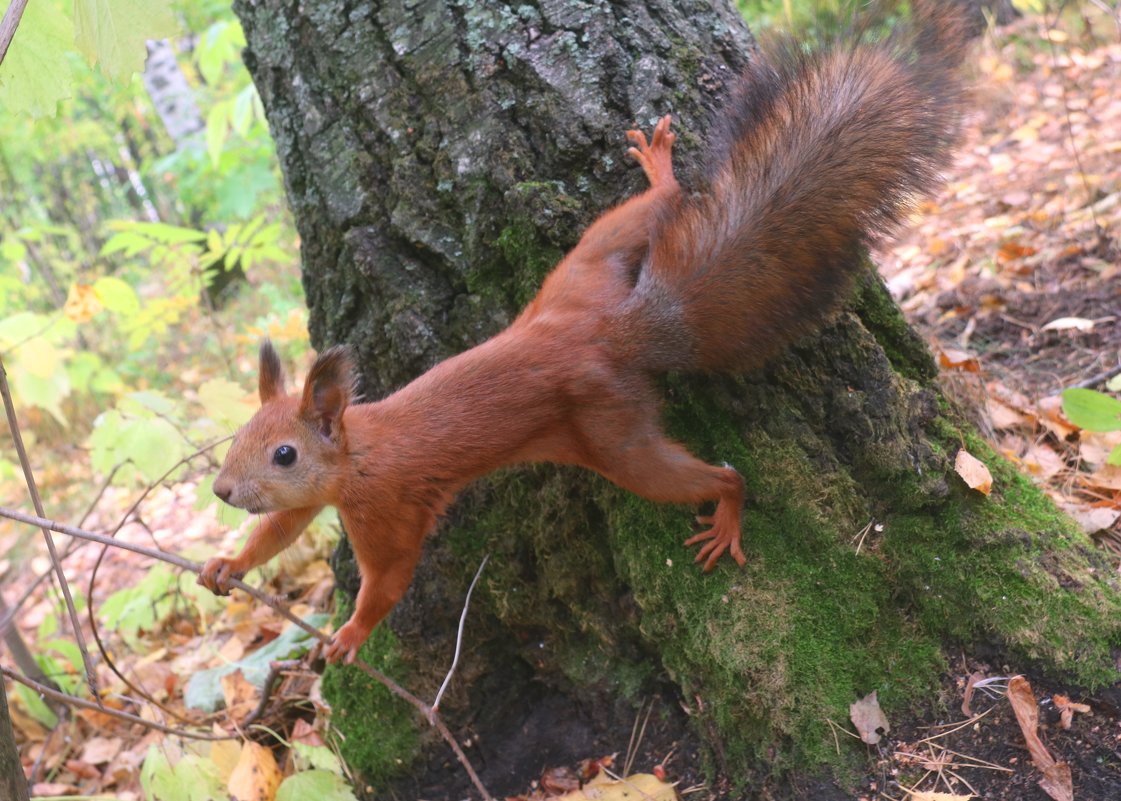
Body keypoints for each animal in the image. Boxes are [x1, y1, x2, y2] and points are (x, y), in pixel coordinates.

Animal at [197, 3, 968, 663]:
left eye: (286, 453)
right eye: (240, 438)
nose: (224, 492)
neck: (356, 453)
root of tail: (614, 332)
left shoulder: (386, 509)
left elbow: (388, 578)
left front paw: (351, 634)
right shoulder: (315, 503)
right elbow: (282, 528)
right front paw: (227, 561)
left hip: (611, 429)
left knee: (710, 474)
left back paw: (726, 511)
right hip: (582, 272)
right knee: (646, 215)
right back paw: (658, 171)